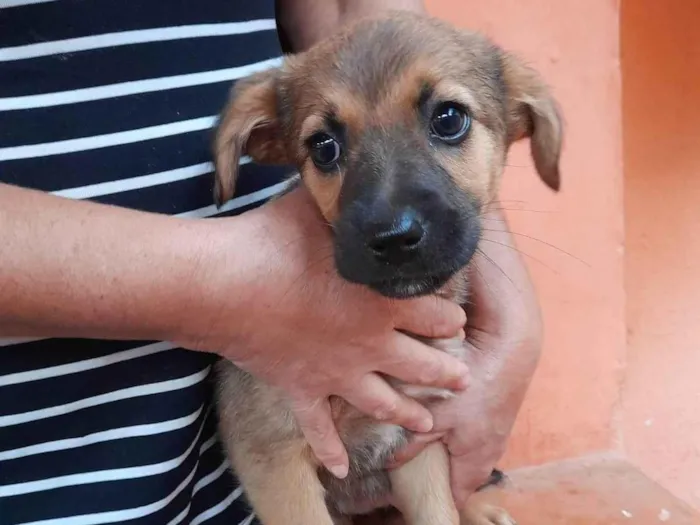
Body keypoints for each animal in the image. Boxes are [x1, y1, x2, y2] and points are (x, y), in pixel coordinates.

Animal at [213, 10, 564, 524]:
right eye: (323, 147)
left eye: (449, 119)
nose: (394, 238)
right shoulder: (275, 458)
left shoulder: (417, 442)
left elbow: (440, 513)